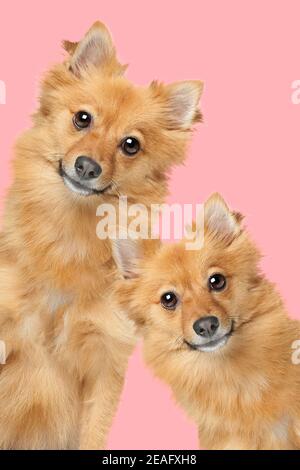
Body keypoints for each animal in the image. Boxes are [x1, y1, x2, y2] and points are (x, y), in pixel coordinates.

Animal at [0, 22, 204, 448]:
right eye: (82, 119)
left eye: (131, 145)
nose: (87, 166)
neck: (71, 232)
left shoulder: (105, 364)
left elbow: (93, 432)